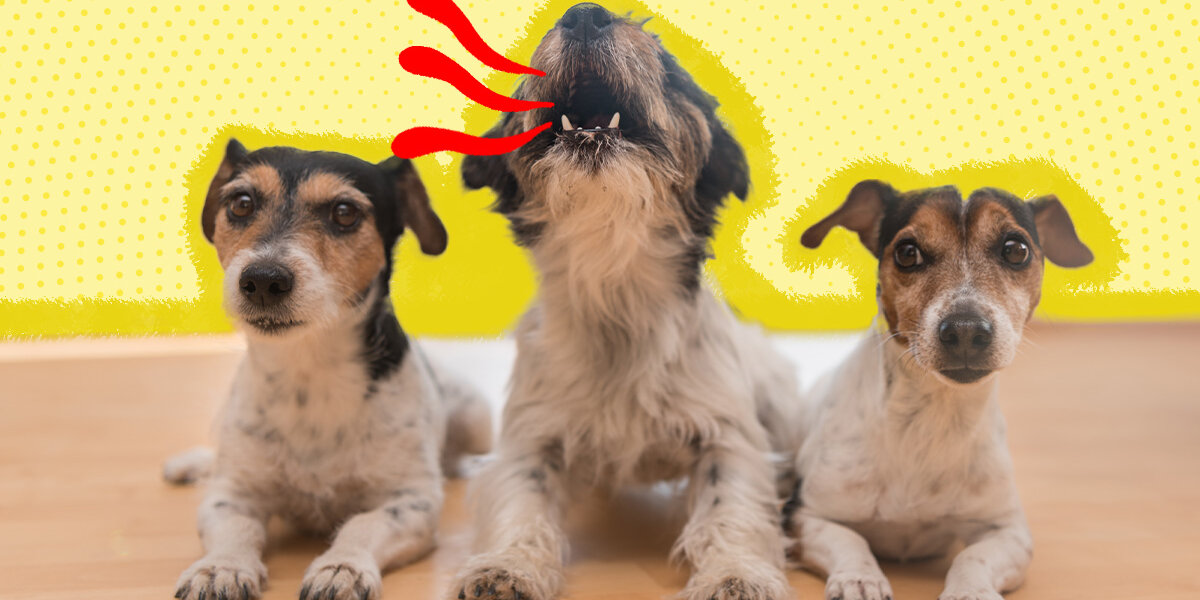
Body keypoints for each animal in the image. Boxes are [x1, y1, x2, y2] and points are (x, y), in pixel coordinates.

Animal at [165, 140, 492, 600]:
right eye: (241, 203)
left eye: (344, 212)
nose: (262, 279)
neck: (309, 372)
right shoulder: (231, 495)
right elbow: (236, 529)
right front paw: (220, 567)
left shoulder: (410, 500)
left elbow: (363, 524)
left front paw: (343, 566)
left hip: (476, 418)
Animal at [446, 4, 801, 600]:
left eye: (669, 67)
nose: (584, 15)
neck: (614, 283)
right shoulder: (531, 437)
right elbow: (521, 502)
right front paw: (507, 567)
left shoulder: (727, 438)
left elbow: (731, 510)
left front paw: (735, 574)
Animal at [787, 181, 1099, 600]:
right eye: (907, 253)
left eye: (1016, 250)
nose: (965, 330)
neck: (931, 416)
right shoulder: (806, 516)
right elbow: (851, 541)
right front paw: (860, 578)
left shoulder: (1008, 532)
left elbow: (972, 557)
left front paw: (971, 591)